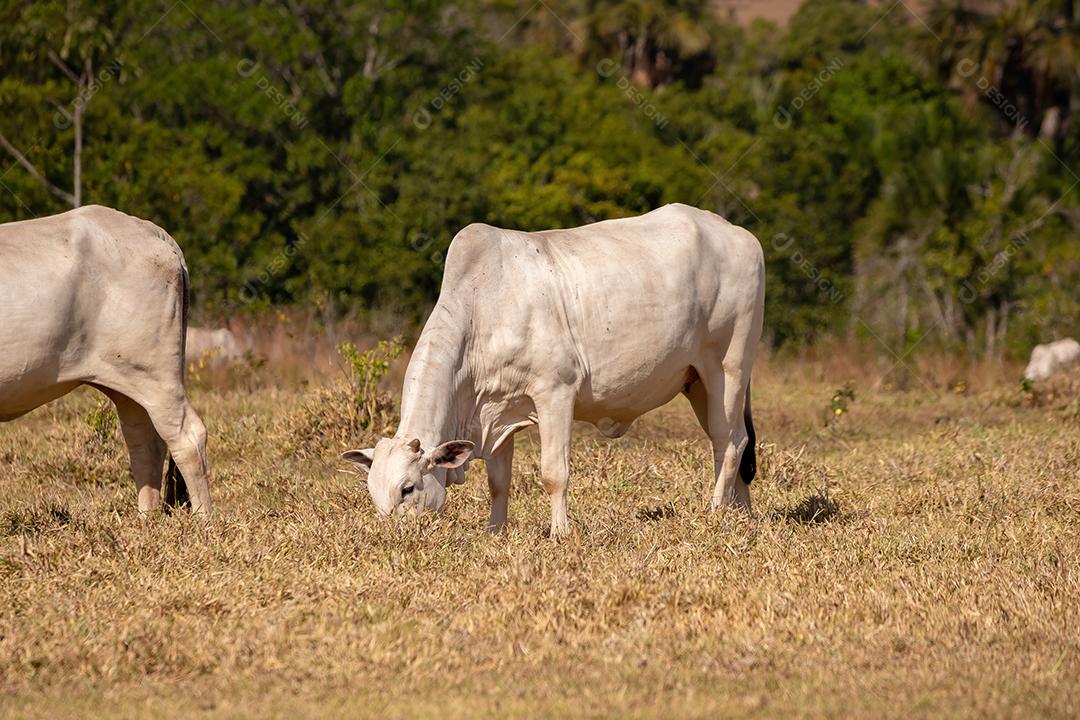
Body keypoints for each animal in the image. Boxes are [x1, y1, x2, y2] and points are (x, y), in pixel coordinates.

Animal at [0, 205, 211, 514]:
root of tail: (153, 231)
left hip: (157, 376)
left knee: (187, 436)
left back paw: (203, 518)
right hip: (128, 383)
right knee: (145, 443)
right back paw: (147, 518)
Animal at [342, 203, 764, 537]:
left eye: (408, 489)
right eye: (373, 492)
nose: (390, 536)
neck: (484, 311)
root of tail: (740, 235)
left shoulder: (555, 393)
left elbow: (553, 473)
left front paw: (559, 532)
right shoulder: (496, 410)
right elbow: (499, 482)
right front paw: (495, 532)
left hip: (728, 367)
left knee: (730, 441)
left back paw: (716, 512)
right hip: (697, 382)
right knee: (732, 442)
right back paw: (740, 512)